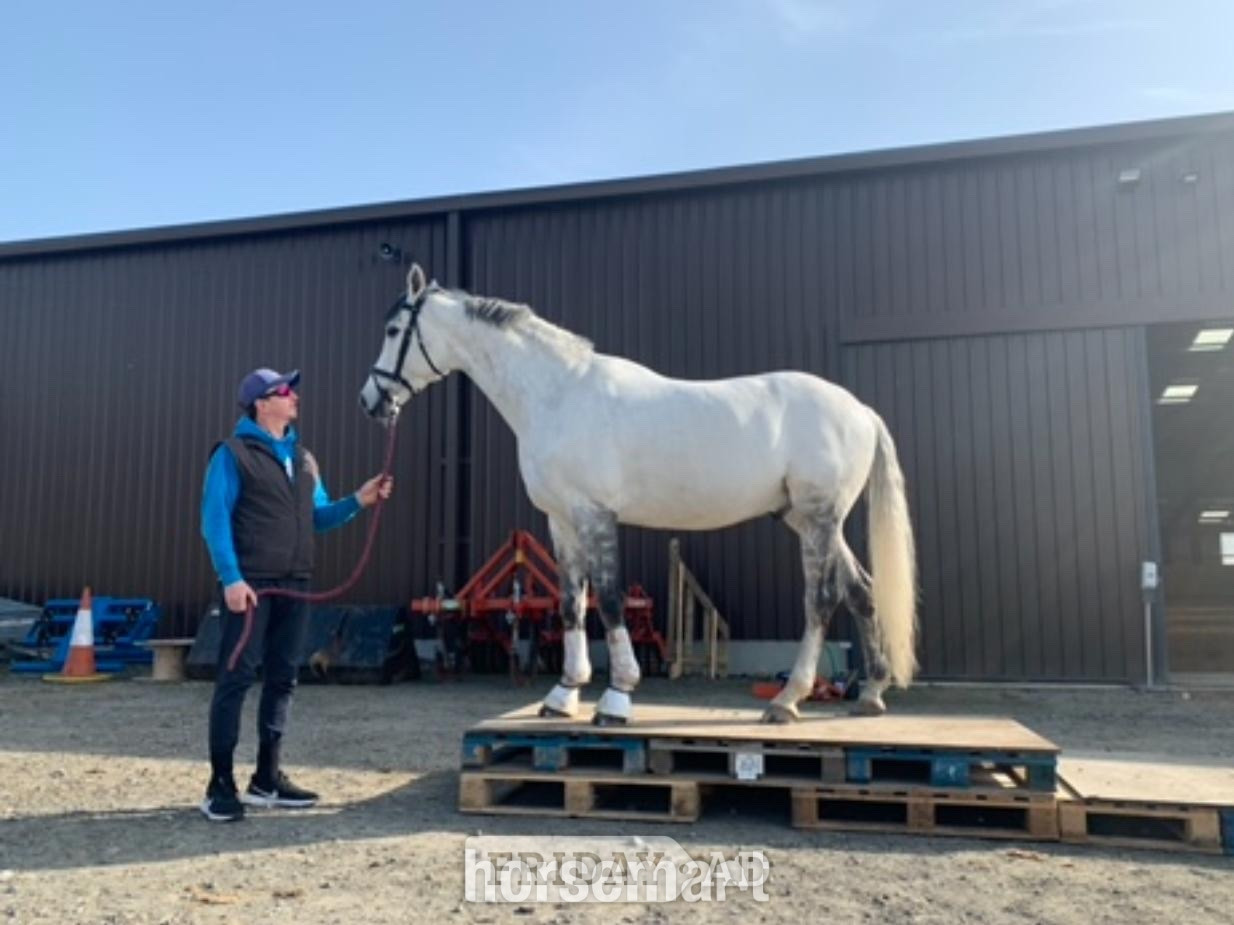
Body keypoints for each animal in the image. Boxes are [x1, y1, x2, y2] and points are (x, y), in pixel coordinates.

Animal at [360, 264, 918, 725]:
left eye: (393, 331)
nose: (371, 400)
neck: (558, 394)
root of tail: (861, 410)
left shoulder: (595, 515)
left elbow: (607, 600)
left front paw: (616, 698)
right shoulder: (561, 521)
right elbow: (570, 601)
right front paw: (564, 694)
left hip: (820, 519)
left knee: (821, 600)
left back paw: (787, 700)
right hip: (807, 520)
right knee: (862, 590)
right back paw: (871, 693)